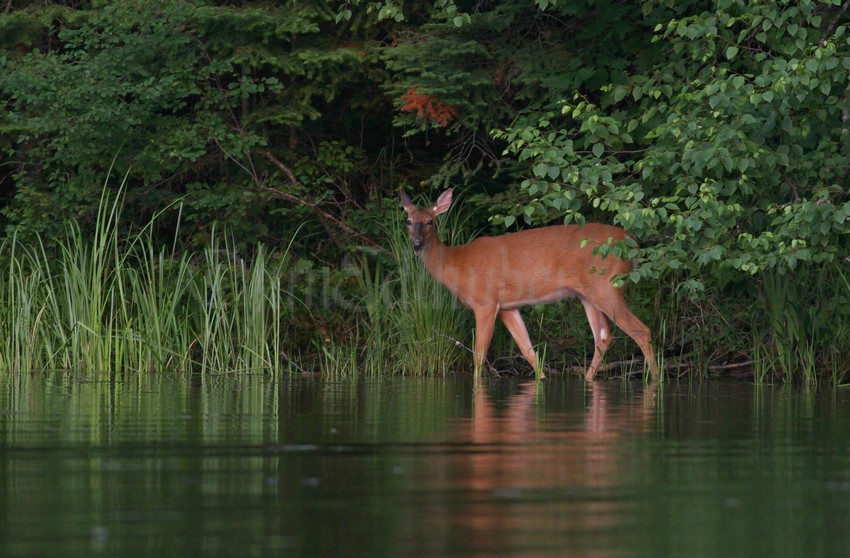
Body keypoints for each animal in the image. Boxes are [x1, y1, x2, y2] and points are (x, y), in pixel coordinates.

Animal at [400, 190, 660, 382]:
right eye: (409, 221)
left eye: (430, 221)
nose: (417, 244)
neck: (457, 264)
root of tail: (632, 243)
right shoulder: (507, 307)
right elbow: (528, 351)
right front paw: (541, 380)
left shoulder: (485, 302)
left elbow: (479, 354)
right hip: (588, 295)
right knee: (603, 336)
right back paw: (588, 379)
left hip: (607, 286)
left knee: (641, 330)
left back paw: (655, 380)